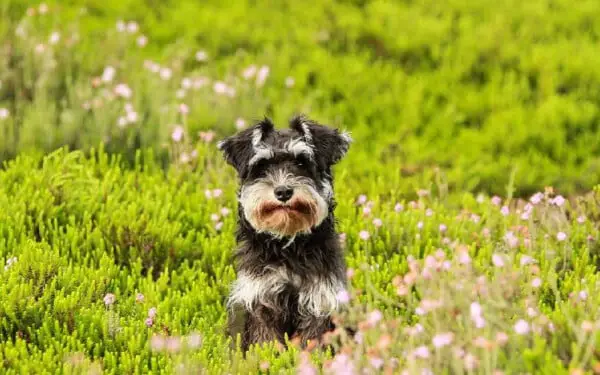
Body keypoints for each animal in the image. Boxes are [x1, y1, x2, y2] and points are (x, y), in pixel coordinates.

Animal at [218, 114, 352, 352]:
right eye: (262, 165)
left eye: (301, 162)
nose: (283, 191)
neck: (288, 245)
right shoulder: (261, 300)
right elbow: (265, 342)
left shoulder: (319, 300)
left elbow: (312, 340)